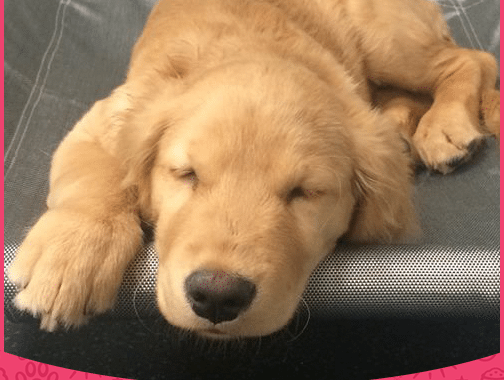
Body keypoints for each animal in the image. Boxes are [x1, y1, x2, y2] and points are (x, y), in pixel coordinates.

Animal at [9, 0, 498, 338]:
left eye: (305, 192)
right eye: (186, 174)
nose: (217, 296)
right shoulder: (108, 116)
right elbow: (98, 173)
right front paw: (71, 254)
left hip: (386, 40)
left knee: (471, 60)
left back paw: (446, 127)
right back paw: (404, 125)